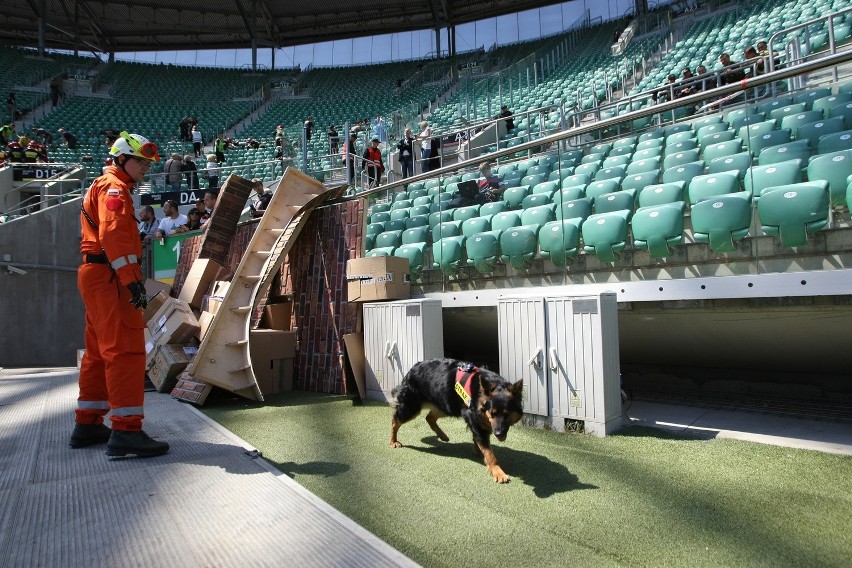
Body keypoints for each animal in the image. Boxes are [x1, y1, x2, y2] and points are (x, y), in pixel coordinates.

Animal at [390, 360, 524, 484]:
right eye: (492, 413)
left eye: (507, 414)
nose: (498, 433)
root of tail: (413, 367)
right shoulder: (472, 417)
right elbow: (489, 451)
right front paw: (497, 471)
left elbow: (479, 441)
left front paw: (479, 451)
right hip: (411, 409)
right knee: (395, 421)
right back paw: (393, 441)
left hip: (446, 405)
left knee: (429, 418)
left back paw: (442, 435)